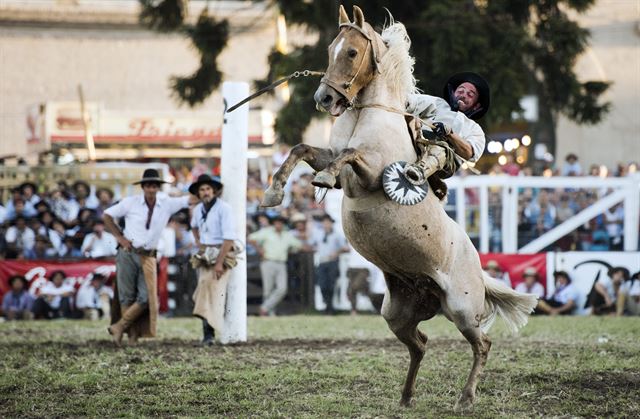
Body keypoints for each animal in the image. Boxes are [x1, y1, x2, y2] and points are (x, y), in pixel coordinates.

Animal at [260, 5, 536, 414]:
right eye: (330, 48)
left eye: (352, 52)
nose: (324, 98)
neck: (370, 113)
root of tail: (478, 268)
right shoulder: (337, 166)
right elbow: (301, 149)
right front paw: (273, 192)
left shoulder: (372, 173)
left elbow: (348, 154)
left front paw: (323, 178)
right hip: (397, 314)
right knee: (420, 345)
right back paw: (406, 397)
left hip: (462, 308)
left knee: (482, 344)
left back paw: (465, 398)